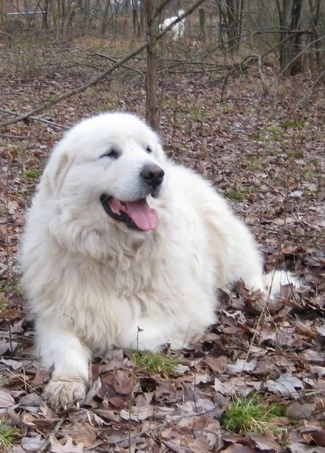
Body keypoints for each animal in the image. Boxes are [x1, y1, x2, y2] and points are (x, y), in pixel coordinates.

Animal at [20, 110, 296, 410]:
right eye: (110, 153)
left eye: (148, 149)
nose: (155, 173)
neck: (115, 253)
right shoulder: (55, 315)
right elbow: (67, 347)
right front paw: (66, 382)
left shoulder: (189, 311)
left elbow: (127, 333)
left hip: (229, 245)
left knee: (251, 276)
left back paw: (259, 297)